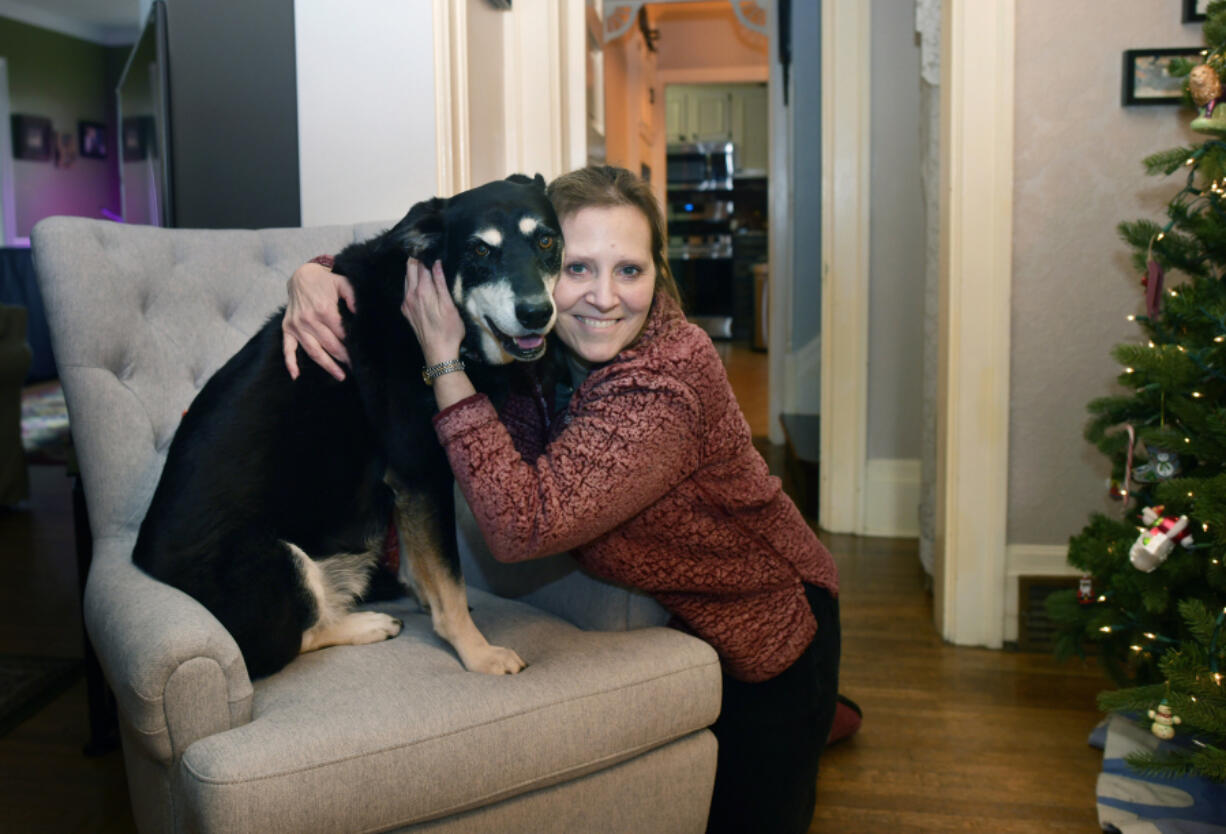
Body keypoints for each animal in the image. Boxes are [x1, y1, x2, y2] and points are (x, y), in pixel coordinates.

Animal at [131, 174, 561, 677]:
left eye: (546, 240)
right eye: (479, 250)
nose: (537, 313)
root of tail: (142, 563)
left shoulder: (408, 484)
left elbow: (420, 563)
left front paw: (426, 601)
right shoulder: (420, 471)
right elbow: (449, 579)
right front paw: (476, 652)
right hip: (279, 562)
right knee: (291, 640)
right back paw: (366, 624)